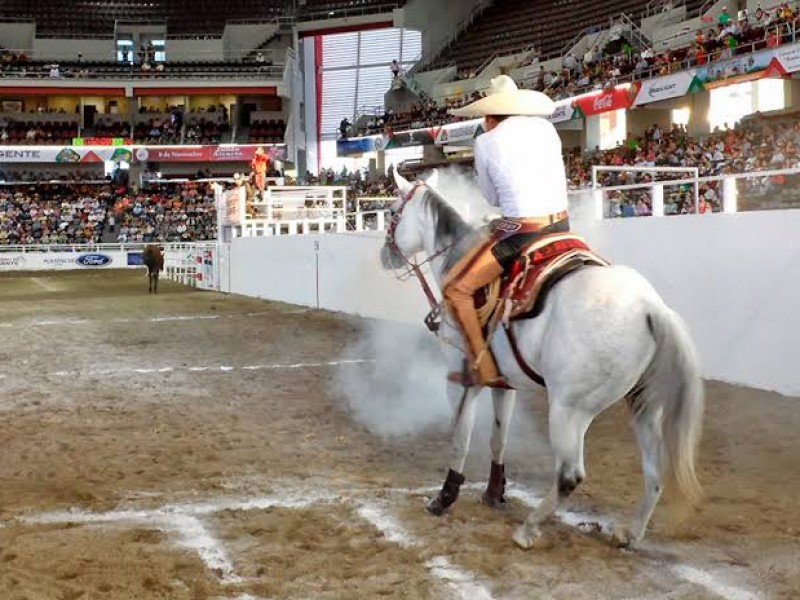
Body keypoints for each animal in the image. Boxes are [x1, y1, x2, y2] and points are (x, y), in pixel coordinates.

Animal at [384, 169, 704, 548]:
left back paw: (529, 528)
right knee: (655, 470)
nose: (385, 256)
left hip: (570, 409)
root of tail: (650, 308)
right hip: (643, 405)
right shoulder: (504, 383)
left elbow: (460, 438)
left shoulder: (462, 379)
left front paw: (444, 498)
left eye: (392, 212)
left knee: (569, 474)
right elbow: (498, 438)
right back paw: (628, 533)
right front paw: (494, 493)